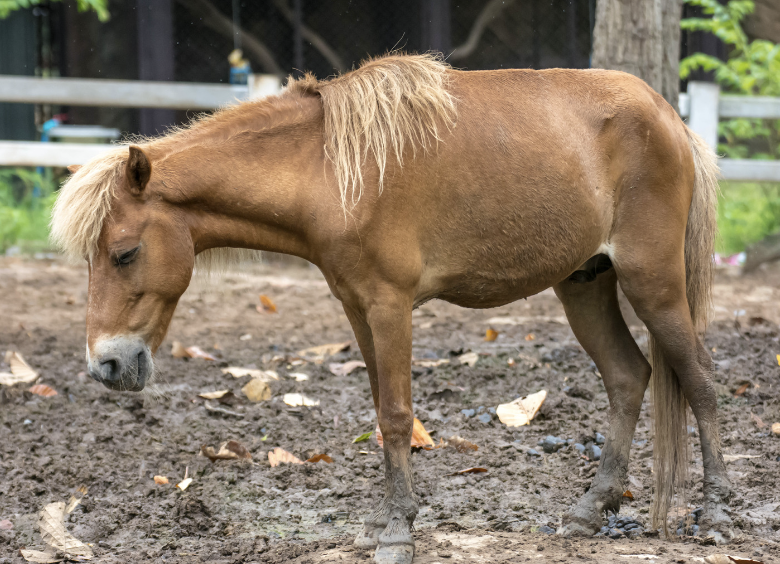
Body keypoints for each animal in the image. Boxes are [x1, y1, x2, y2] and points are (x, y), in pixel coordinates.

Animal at [53, 54, 732, 564]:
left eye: (123, 253)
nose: (105, 366)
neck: (327, 168)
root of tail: (669, 119)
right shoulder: (357, 309)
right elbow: (381, 412)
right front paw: (389, 521)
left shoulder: (390, 305)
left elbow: (399, 415)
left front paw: (398, 534)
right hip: (585, 284)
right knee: (627, 377)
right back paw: (590, 511)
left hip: (653, 283)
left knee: (699, 379)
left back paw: (716, 510)